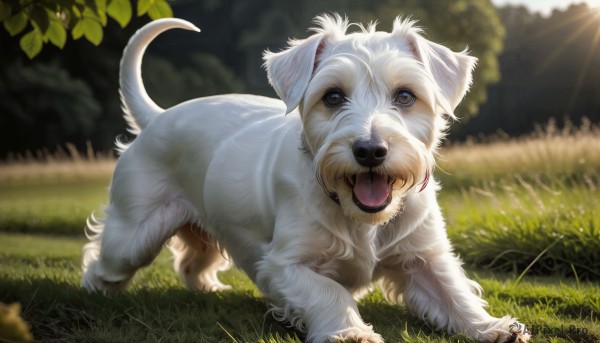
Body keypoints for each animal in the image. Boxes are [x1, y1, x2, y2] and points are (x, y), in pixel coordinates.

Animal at [82, 14, 532, 342]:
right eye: (332, 96)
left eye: (405, 95)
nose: (370, 150)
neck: (358, 215)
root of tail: (157, 117)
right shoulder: (285, 265)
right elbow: (329, 292)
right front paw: (350, 332)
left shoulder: (424, 259)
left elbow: (455, 293)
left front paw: (492, 328)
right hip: (134, 237)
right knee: (100, 263)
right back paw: (95, 294)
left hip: (206, 228)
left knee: (192, 262)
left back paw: (210, 289)